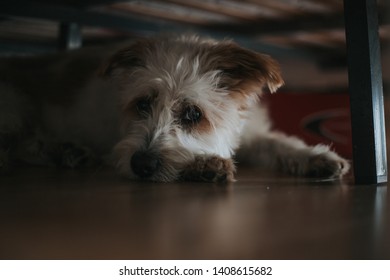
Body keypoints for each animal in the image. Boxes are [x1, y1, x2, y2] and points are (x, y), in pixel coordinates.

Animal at [0, 34, 348, 182]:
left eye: (193, 113)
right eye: (142, 104)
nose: (141, 165)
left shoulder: (249, 133)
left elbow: (279, 144)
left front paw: (315, 157)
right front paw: (206, 164)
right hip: (14, 106)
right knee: (14, 147)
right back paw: (60, 150)